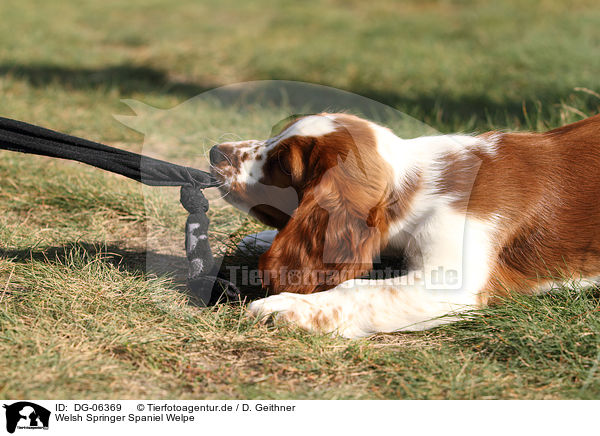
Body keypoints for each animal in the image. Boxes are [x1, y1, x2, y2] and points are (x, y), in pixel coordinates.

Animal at [210, 112, 600, 338]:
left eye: (282, 163)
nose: (216, 152)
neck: (417, 184)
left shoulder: (453, 282)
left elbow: (359, 289)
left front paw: (287, 307)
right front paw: (259, 240)